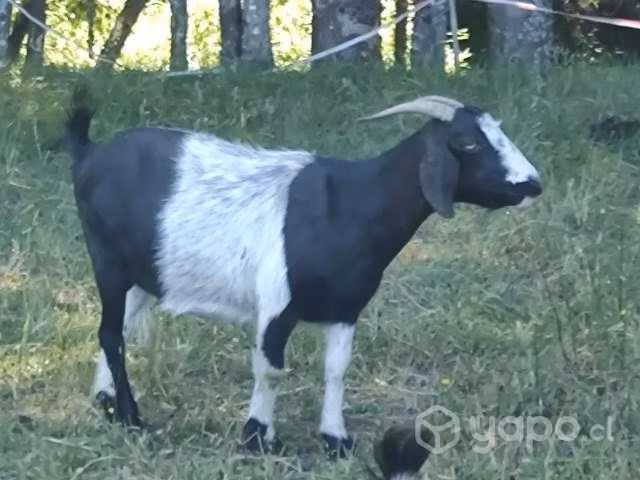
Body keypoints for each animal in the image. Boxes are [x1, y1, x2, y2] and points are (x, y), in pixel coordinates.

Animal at [63, 91, 542, 459]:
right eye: (467, 143)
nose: (532, 184)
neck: (347, 205)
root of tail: (90, 153)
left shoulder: (347, 307)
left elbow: (336, 369)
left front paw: (336, 440)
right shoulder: (276, 304)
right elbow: (270, 370)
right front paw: (258, 438)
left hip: (144, 272)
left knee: (119, 327)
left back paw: (105, 402)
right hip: (108, 260)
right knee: (111, 333)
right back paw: (131, 418)